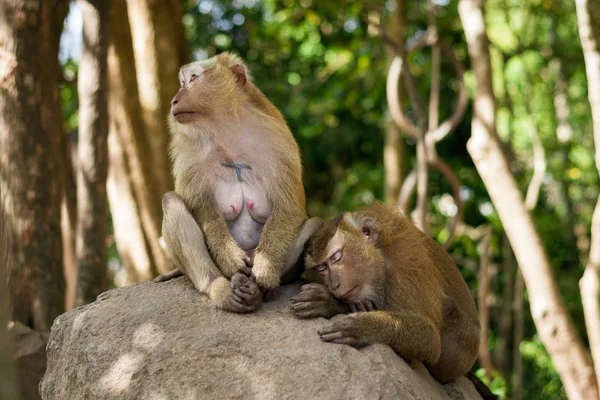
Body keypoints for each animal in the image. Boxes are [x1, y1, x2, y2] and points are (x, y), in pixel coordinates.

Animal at [157, 50, 322, 312]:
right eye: (182, 82)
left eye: (192, 79)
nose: (174, 100)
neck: (226, 130)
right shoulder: (187, 150)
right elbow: (202, 210)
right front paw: (231, 262)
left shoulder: (278, 140)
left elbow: (289, 208)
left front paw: (265, 272)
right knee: (171, 201)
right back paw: (222, 286)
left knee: (314, 222)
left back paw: (259, 287)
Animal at [288, 203, 480, 384]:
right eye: (321, 268)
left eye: (336, 257)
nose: (334, 285)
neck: (383, 254)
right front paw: (335, 303)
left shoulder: (408, 265)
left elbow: (431, 338)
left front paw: (361, 327)